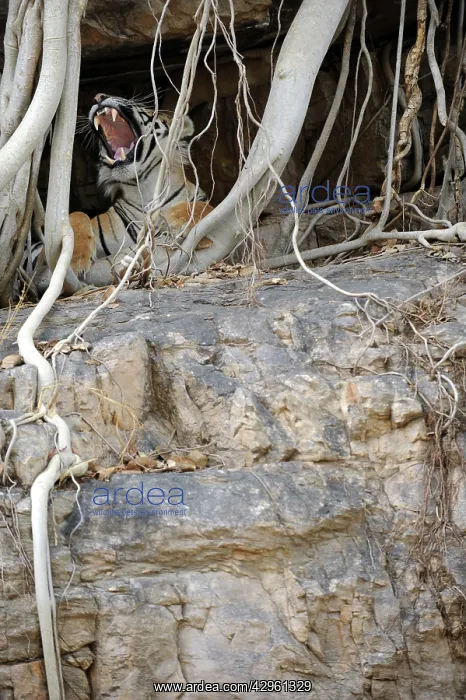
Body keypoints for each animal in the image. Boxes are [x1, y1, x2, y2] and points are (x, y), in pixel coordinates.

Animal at [32, 93, 213, 290]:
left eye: (149, 110)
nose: (98, 96)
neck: (144, 189)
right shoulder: (43, 255)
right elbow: (77, 215)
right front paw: (74, 261)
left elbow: (202, 207)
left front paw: (172, 218)